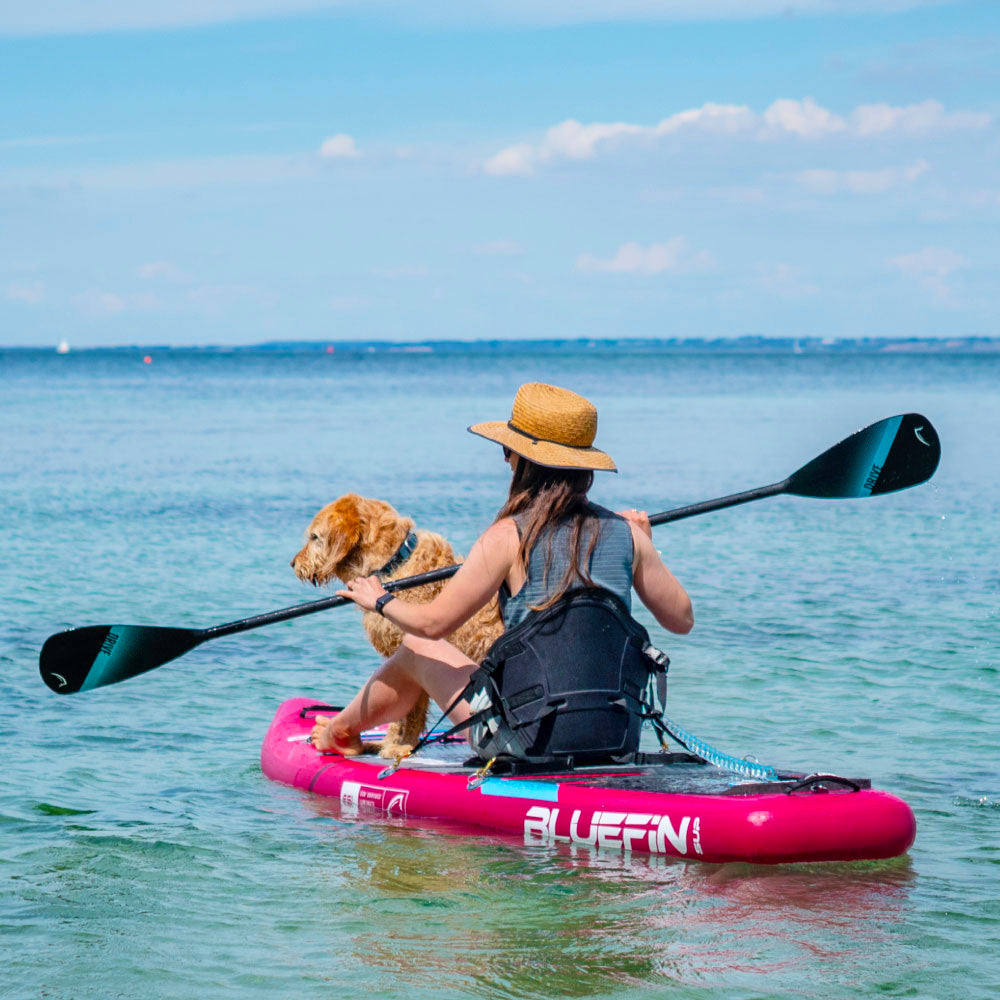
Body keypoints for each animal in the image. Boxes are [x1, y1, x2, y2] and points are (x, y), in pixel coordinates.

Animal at [292, 496, 504, 760]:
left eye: (315, 537)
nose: (293, 564)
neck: (392, 566)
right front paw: (392, 743)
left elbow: (409, 712)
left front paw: (400, 746)